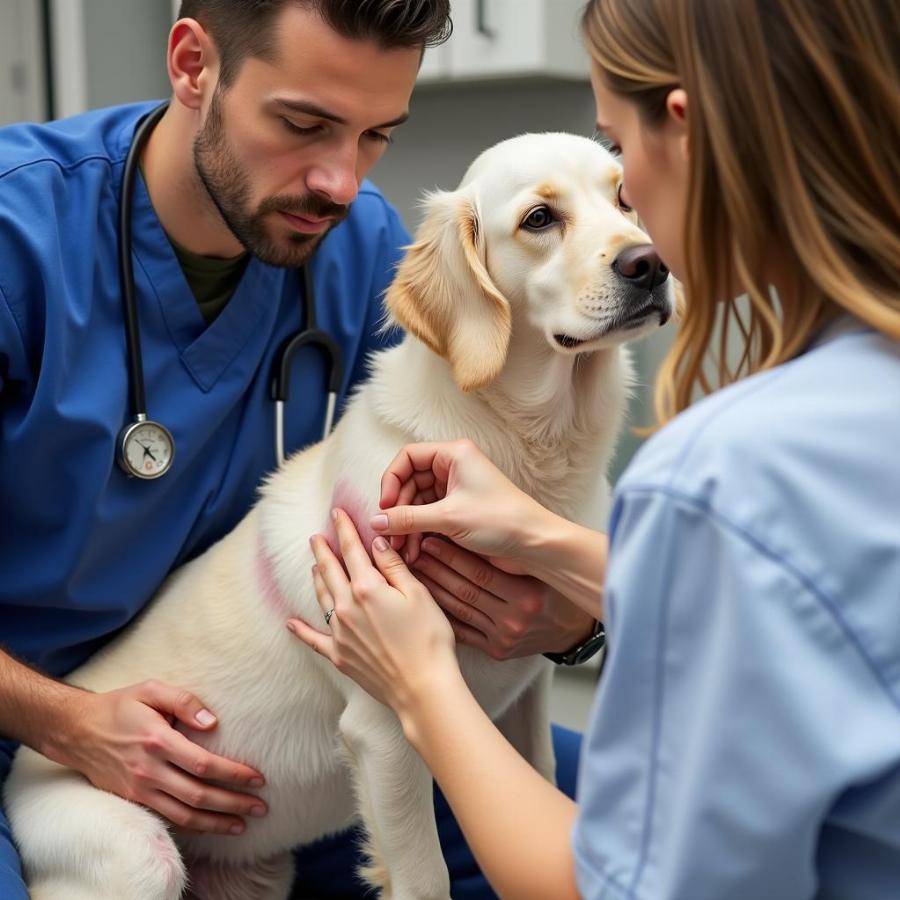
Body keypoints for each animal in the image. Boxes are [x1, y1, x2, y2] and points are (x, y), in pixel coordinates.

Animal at [5, 134, 668, 900]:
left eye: (625, 198)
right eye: (539, 218)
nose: (651, 264)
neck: (529, 448)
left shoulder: (528, 696)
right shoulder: (385, 728)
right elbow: (426, 878)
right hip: (136, 857)